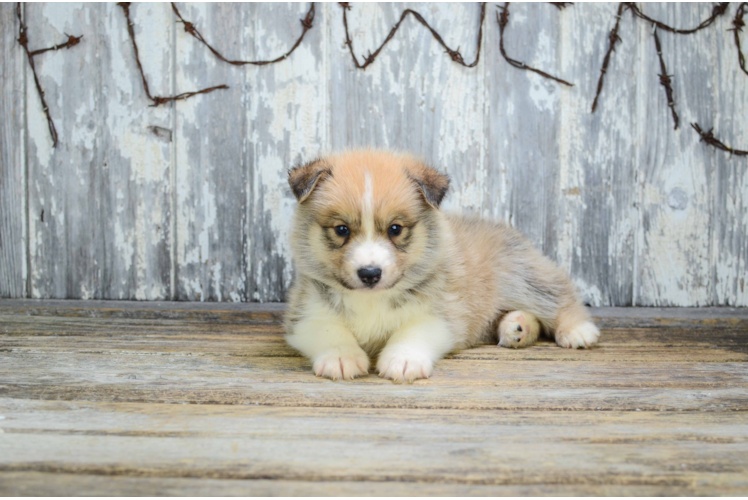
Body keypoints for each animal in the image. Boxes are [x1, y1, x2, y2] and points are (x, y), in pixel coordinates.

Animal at [284, 149, 600, 382]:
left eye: (396, 229)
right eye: (341, 230)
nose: (370, 274)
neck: (372, 299)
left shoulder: (441, 315)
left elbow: (412, 331)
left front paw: (403, 359)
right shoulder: (304, 313)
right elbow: (329, 330)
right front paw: (341, 357)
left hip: (523, 277)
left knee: (560, 296)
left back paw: (576, 331)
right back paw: (517, 327)